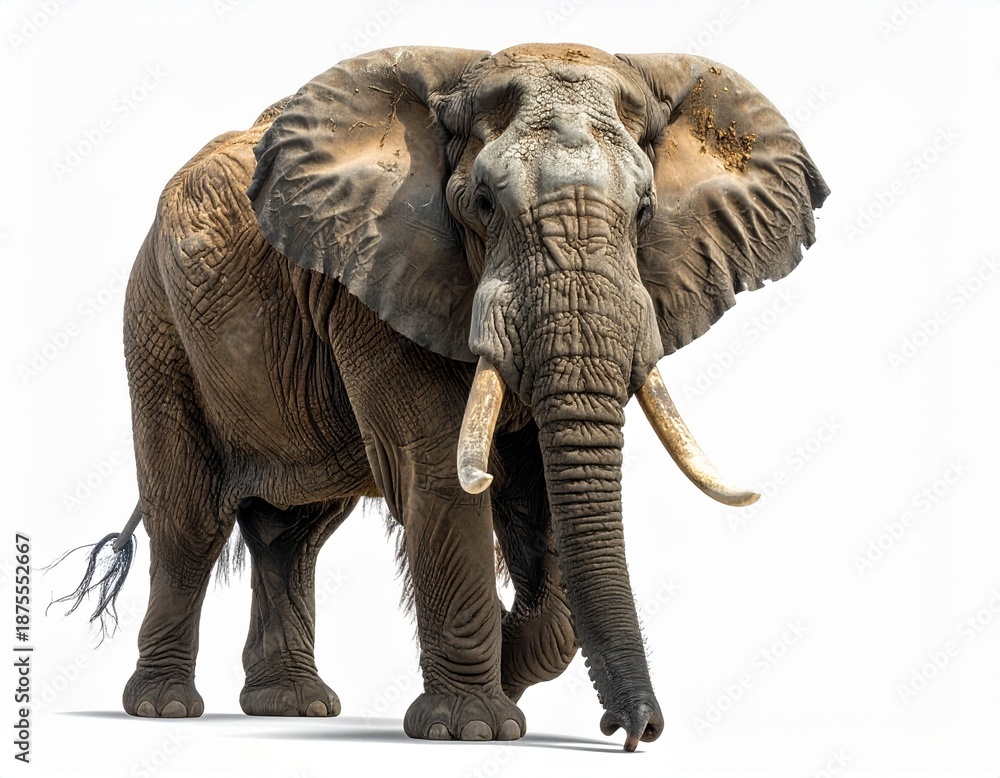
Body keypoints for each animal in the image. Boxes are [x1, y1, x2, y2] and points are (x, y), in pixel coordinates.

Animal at [61, 43, 828, 751]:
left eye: (644, 212)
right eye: (483, 205)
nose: (637, 730)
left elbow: (540, 494)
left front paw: (509, 671)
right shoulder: (375, 273)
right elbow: (439, 472)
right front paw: (475, 726)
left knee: (293, 534)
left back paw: (293, 707)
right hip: (156, 322)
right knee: (188, 517)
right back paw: (164, 708)